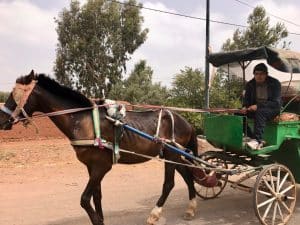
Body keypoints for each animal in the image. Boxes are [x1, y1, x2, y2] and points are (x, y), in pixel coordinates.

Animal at [0, 71, 199, 225]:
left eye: (14, 95)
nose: (2, 120)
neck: (85, 121)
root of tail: (185, 121)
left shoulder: (102, 167)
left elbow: (84, 200)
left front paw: (97, 220)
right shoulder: (92, 166)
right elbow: (97, 196)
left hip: (171, 155)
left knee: (169, 184)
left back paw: (154, 214)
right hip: (171, 155)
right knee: (188, 175)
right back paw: (190, 209)